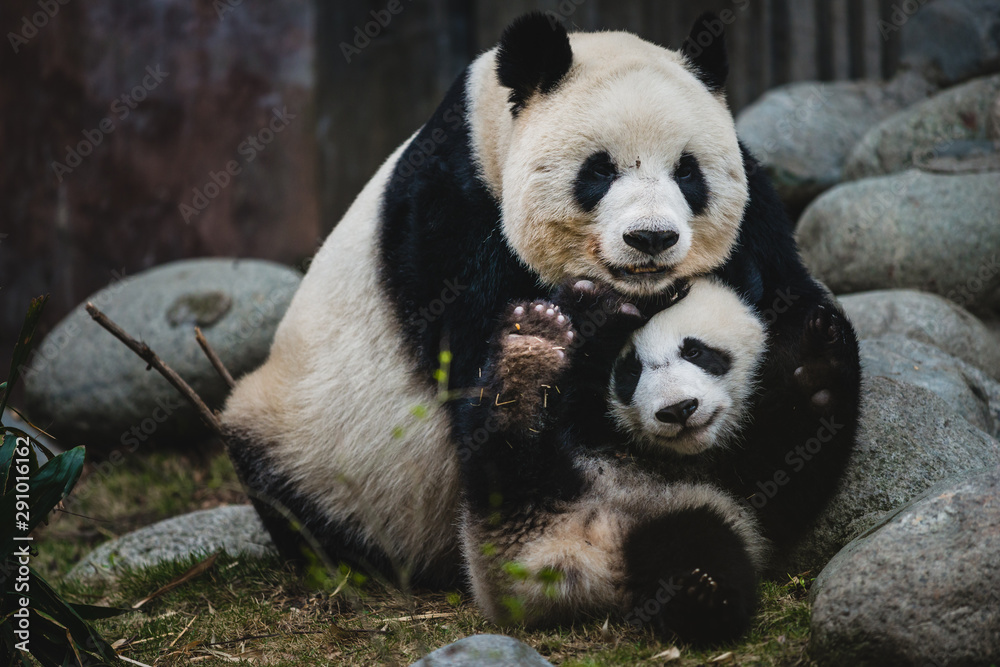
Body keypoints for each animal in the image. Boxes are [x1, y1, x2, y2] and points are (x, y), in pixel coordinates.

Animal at [220, 11, 862, 590]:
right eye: (599, 171)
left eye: (688, 172)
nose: (651, 238)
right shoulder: (447, 225)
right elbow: (488, 383)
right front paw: (573, 330)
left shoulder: (758, 218)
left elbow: (783, 308)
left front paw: (806, 372)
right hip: (314, 445)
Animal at [457, 277, 771, 645]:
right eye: (631, 370)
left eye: (695, 352)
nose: (678, 409)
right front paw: (602, 306)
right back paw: (530, 349)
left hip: (672, 511)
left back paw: (701, 597)